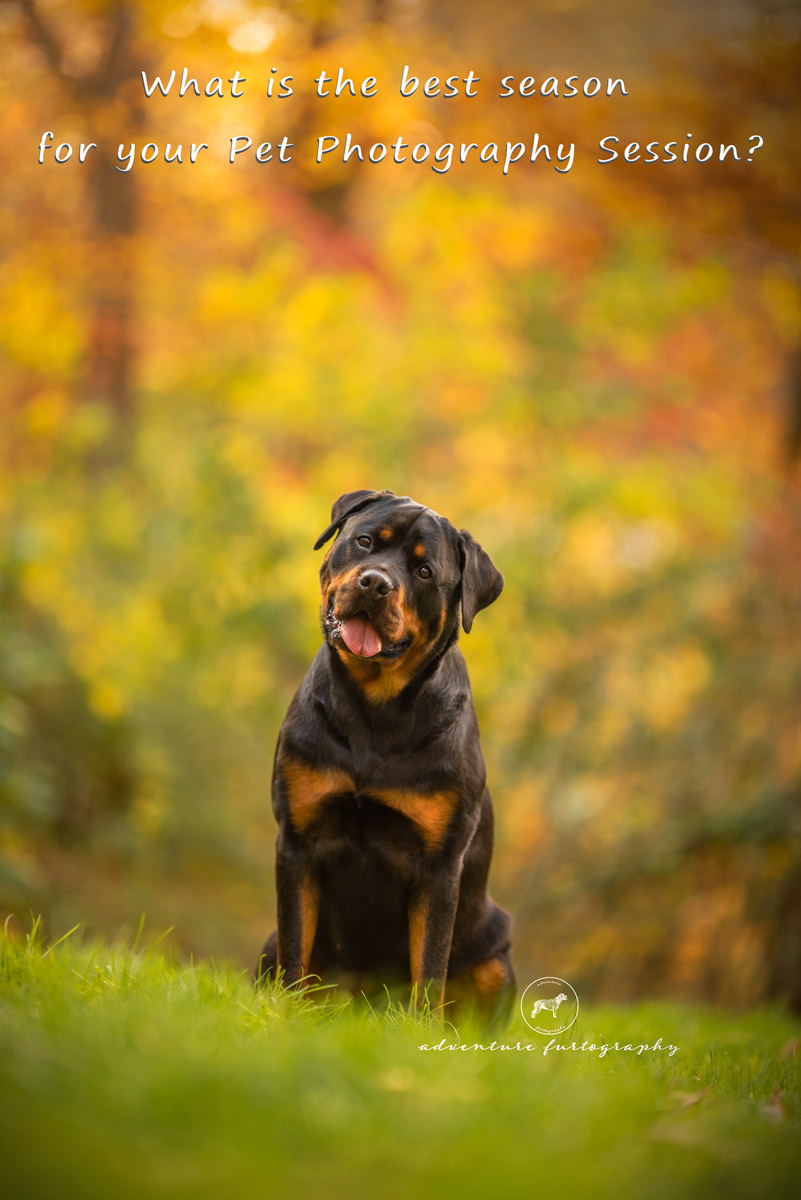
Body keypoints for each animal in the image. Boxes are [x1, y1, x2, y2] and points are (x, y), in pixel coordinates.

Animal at [260, 482, 515, 1017]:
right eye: (364, 542)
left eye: (424, 572)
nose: (376, 583)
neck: (374, 713)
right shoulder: (296, 839)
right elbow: (296, 945)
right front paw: (286, 1013)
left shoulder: (440, 866)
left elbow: (430, 966)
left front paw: (420, 1027)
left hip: (495, 954)